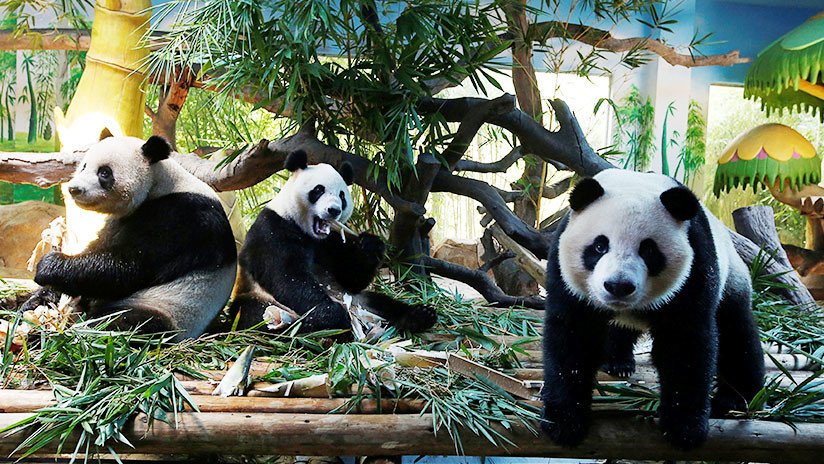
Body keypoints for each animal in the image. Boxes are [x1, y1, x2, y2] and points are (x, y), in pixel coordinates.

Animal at [29, 135, 237, 341]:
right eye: (84, 166)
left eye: (104, 173)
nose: (74, 189)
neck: (160, 185)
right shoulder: (117, 222)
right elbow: (98, 250)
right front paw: (43, 295)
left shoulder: (184, 219)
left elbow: (128, 266)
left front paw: (49, 265)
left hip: (170, 310)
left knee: (123, 322)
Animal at [229, 150, 437, 335]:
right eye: (318, 190)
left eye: (342, 195)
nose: (334, 210)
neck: (309, 233)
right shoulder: (273, 230)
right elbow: (288, 277)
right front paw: (331, 314)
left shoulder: (332, 241)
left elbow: (350, 277)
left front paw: (371, 245)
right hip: (260, 299)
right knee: (257, 317)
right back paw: (321, 327)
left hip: (358, 299)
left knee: (382, 302)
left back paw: (421, 315)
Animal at [541, 169, 764, 450]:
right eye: (600, 246)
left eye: (648, 249)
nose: (618, 286)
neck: (634, 183)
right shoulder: (565, 275)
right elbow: (572, 340)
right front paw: (564, 422)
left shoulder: (696, 268)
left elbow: (685, 345)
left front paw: (684, 429)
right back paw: (618, 363)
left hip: (732, 278)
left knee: (737, 333)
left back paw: (736, 398)